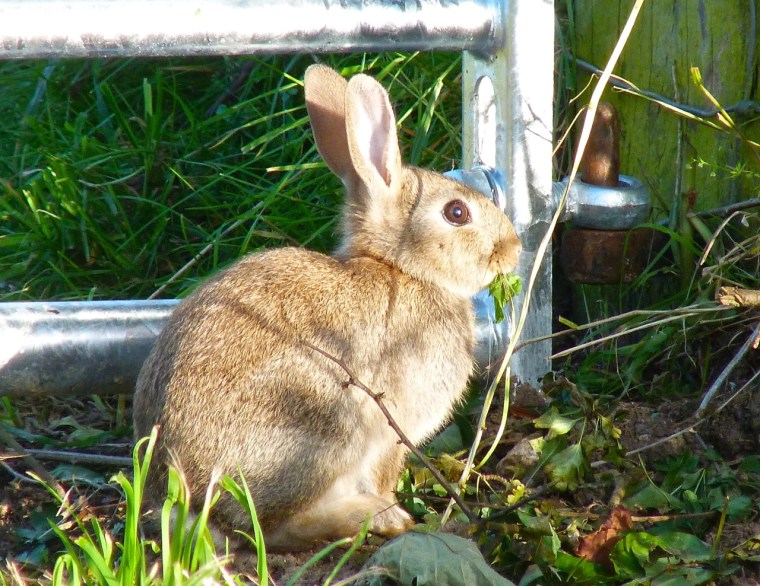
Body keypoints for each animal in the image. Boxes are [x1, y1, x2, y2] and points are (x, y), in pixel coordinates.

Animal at [132, 64, 521, 552]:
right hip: (322, 426)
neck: (403, 270)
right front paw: (394, 509)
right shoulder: (392, 430)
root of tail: (184, 498)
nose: (514, 249)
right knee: (272, 529)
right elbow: (384, 474)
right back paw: (372, 517)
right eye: (456, 212)